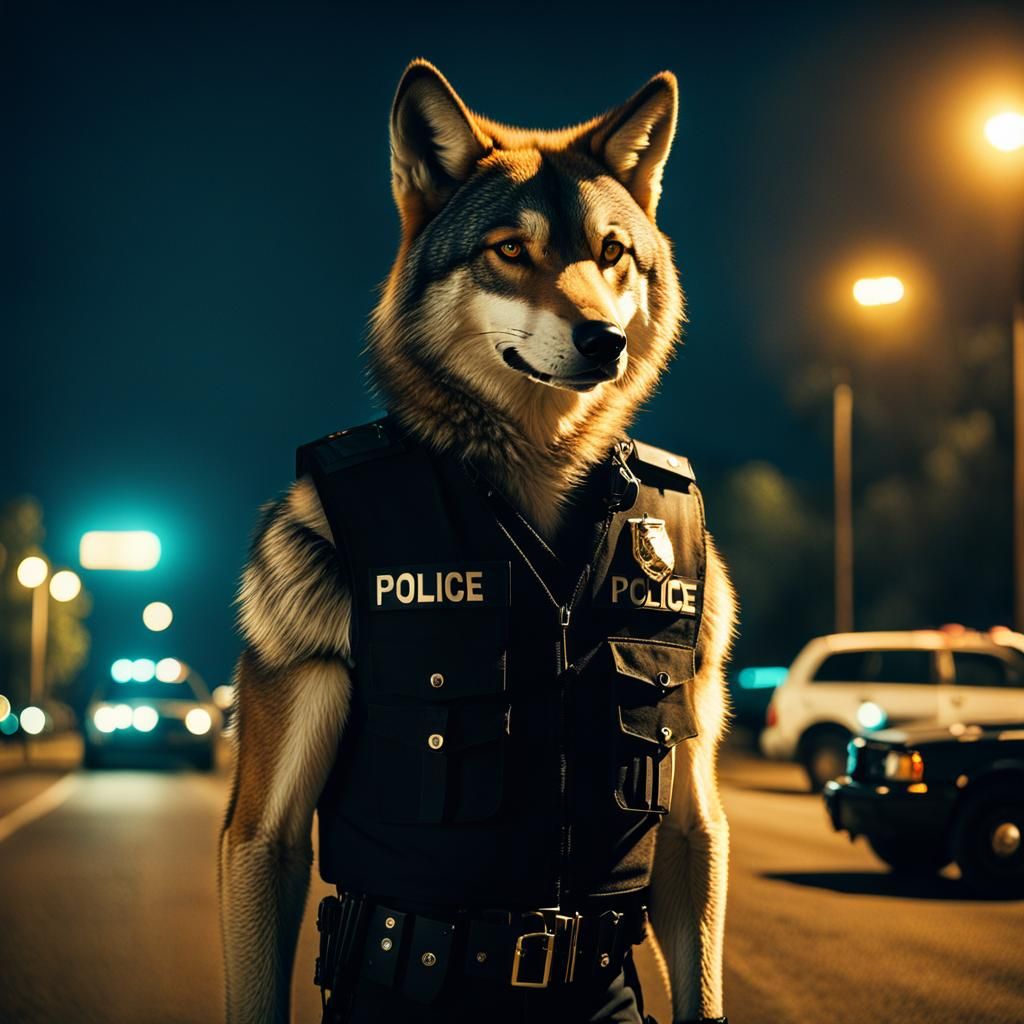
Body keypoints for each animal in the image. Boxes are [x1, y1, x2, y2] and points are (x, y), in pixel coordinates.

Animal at [220, 59, 736, 1024]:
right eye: (508, 251)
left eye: (613, 252)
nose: (605, 340)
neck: (535, 468)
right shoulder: (264, 826)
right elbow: (268, 846)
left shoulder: (691, 785)